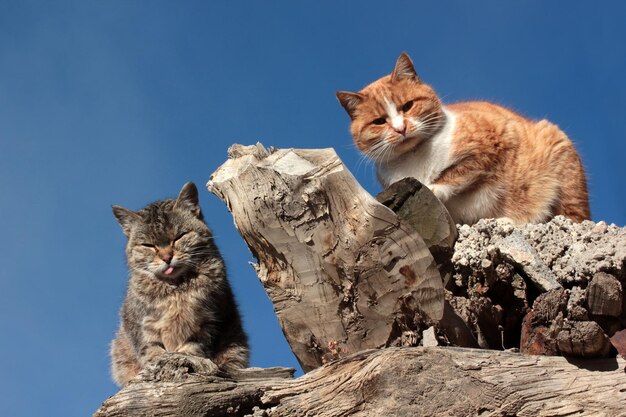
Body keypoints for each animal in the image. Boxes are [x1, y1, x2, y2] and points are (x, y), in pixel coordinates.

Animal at [109, 180, 246, 386]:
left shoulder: (209, 319)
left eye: (179, 236)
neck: (175, 288)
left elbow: (194, 345)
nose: (167, 257)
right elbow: (149, 349)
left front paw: (183, 357)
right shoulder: (140, 324)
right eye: (148, 245)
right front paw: (157, 361)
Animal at [334, 53, 588, 226]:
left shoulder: (492, 142)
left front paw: (434, 187)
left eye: (407, 106)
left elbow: (457, 172)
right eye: (379, 121)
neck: (414, 157)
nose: (400, 128)